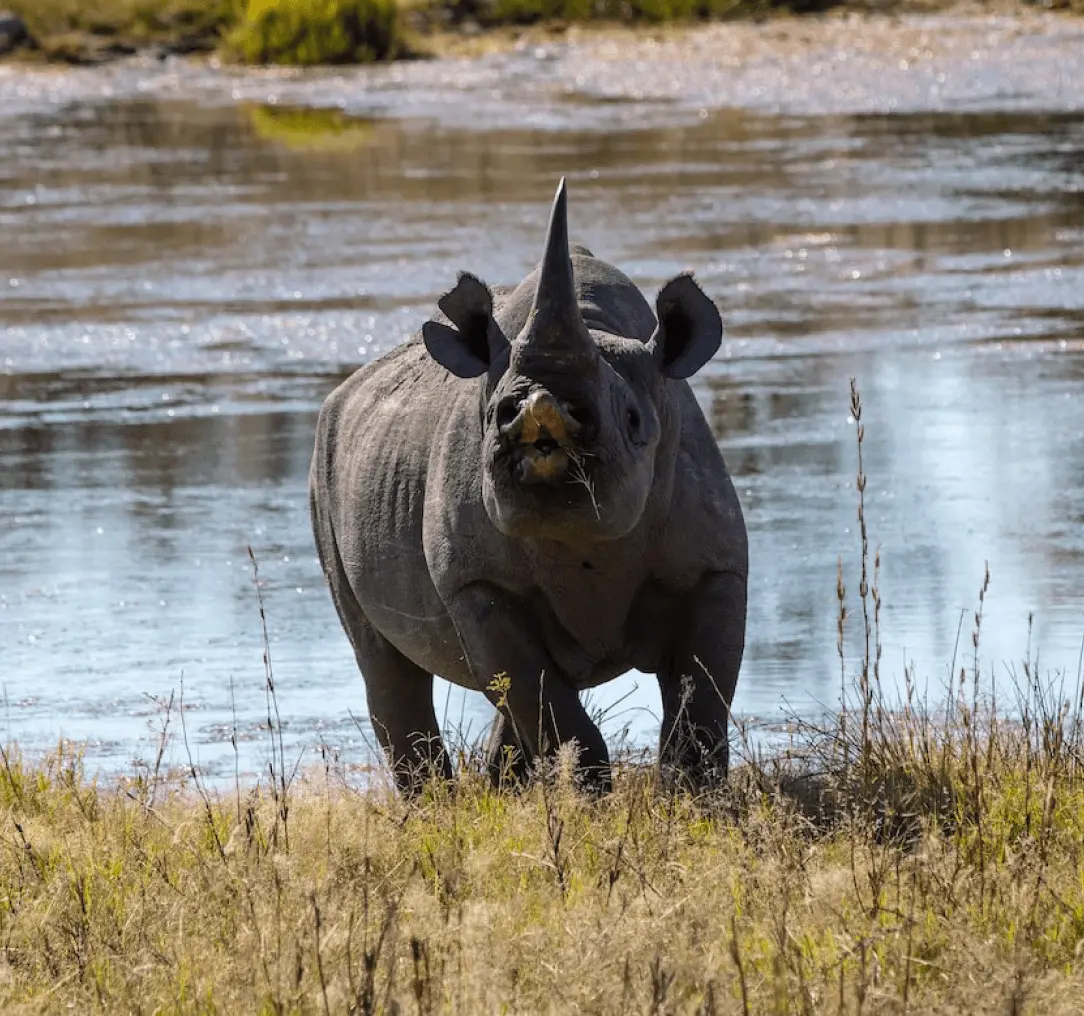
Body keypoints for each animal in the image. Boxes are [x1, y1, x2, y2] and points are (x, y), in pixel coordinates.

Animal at [309, 179, 748, 795]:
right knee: (388, 666)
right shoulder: (475, 583)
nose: (538, 410)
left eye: (634, 420)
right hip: (322, 469)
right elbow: (546, 705)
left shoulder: (716, 567)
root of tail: (344, 393)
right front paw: (590, 801)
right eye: (497, 412)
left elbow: (700, 702)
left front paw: (690, 801)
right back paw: (437, 808)